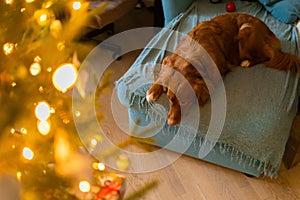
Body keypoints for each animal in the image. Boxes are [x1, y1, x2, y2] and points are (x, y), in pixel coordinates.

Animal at [147, 13, 300, 126]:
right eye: (170, 99)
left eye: (184, 101)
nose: (170, 122)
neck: (189, 57)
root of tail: (271, 35)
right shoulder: (168, 59)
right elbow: (162, 75)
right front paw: (152, 91)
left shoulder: (215, 75)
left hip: (245, 29)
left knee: (267, 56)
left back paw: (247, 62)